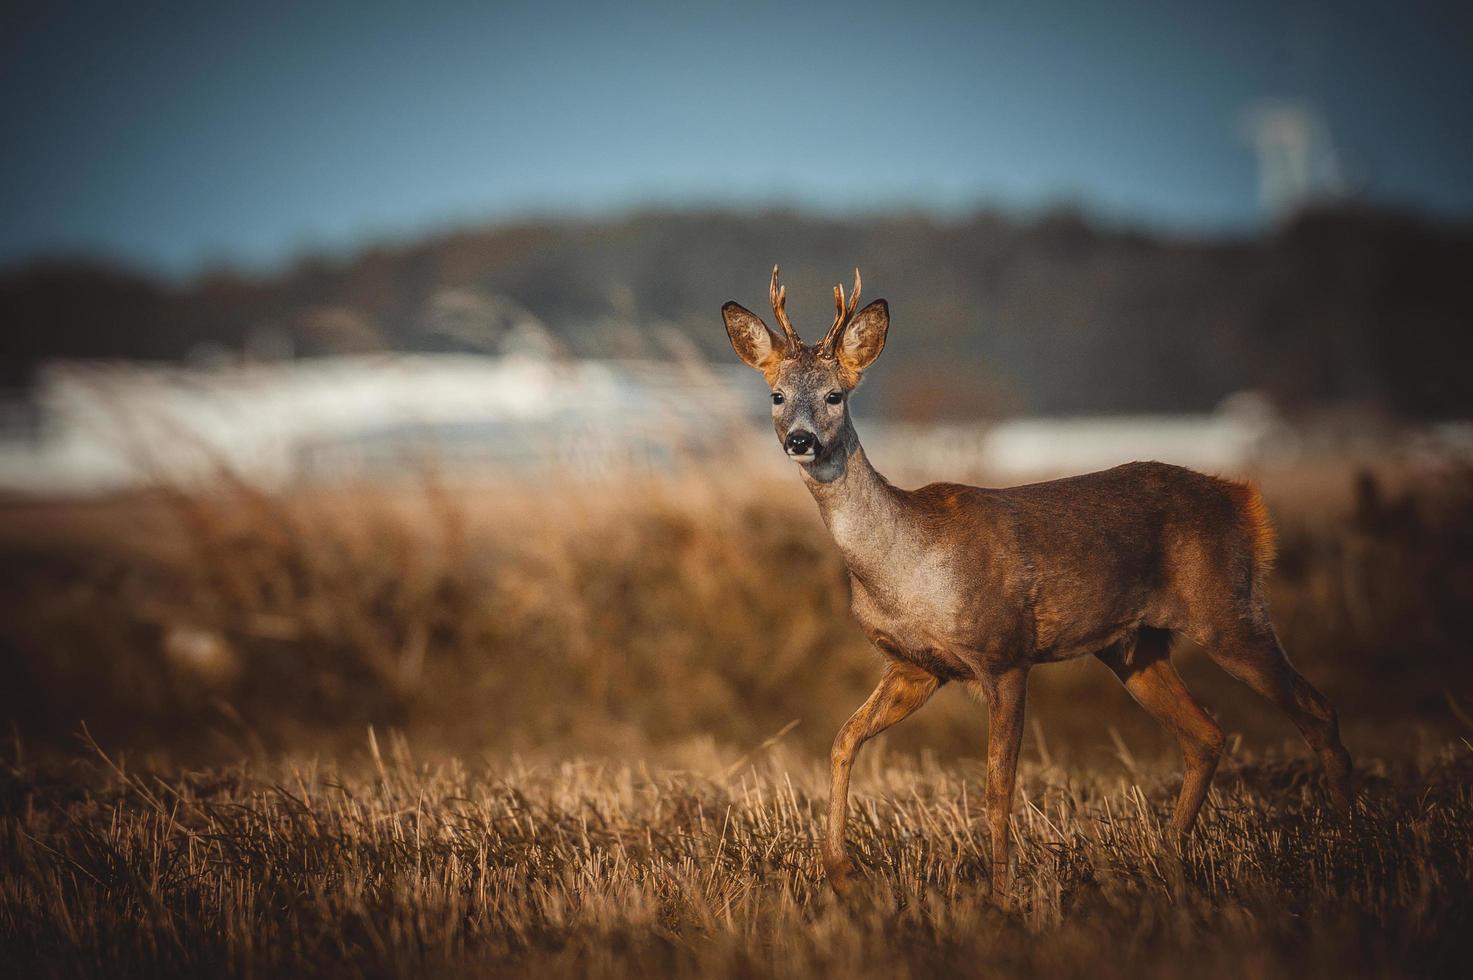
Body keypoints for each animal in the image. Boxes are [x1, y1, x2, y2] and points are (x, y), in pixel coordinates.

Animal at [718, 268, 1349, 901]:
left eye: (835, 395)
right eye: (776, 395)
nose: (800, 440)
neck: (907, 569)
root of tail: (1244, 500)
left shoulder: (1004, 654)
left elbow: (998, 786)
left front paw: (1002, 895)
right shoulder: (915, 667)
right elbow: (842, 741)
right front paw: (842, 874)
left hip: (1228, 608)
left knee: (1315, 708)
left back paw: (1348, 844)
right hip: (1135, 648)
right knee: (1206, 735)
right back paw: (1170, 864)